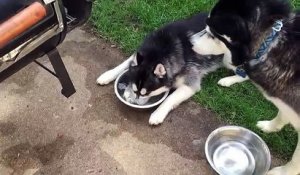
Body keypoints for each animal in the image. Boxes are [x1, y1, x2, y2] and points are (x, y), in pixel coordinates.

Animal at [96, 13, 225, 126]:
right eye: (135, 90)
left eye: (146, 93)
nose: (135, 101)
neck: (161, 51)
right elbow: (125, 63)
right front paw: (107, 75)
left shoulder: (190, 83)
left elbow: (170, 98)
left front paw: (157, 113)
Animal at [192, 0, 300, 174]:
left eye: (212, 33)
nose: (189, 41)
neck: (270, 43)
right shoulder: (285, 102)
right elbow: (282, 114)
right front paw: (271, 127)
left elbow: (296, 158)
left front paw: (283, 172)